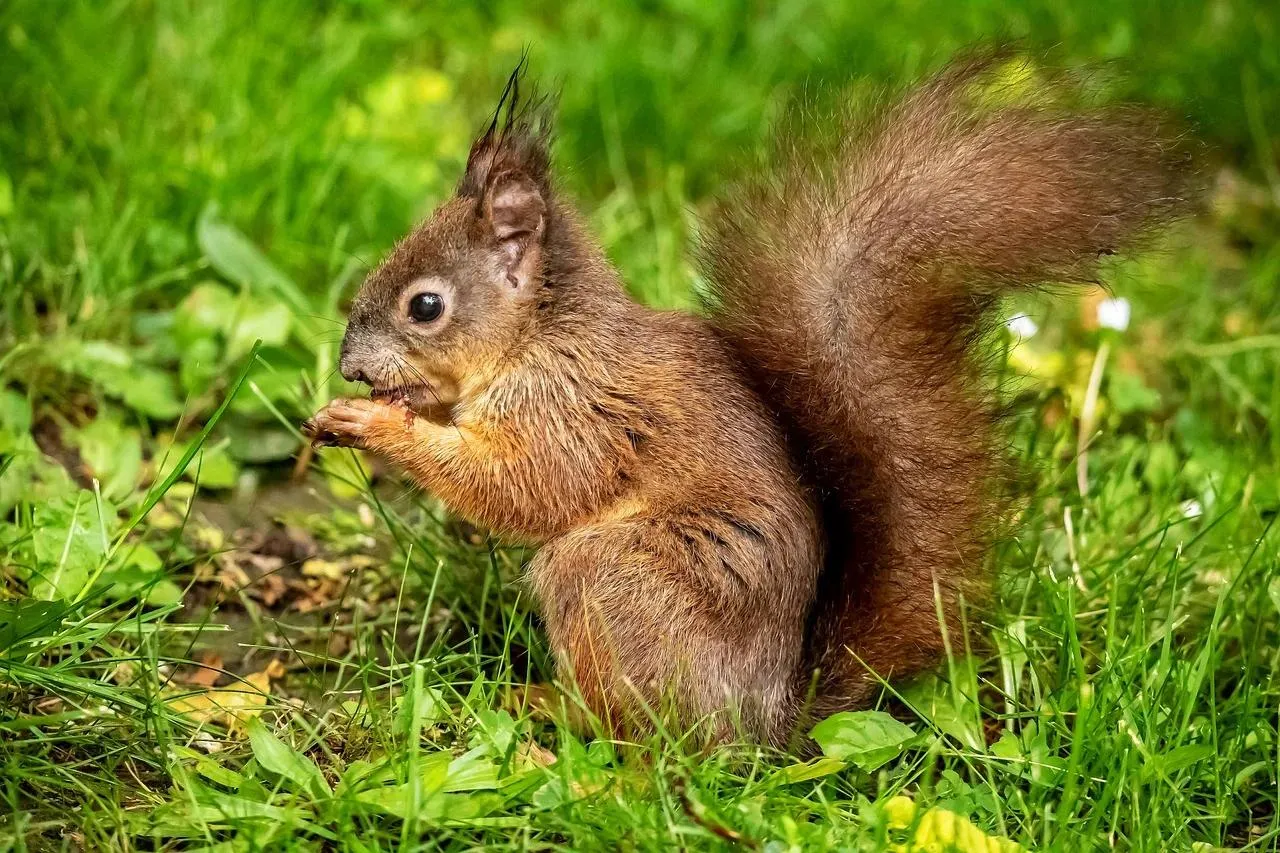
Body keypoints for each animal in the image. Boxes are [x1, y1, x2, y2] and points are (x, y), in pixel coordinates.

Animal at [303, 51, 1196, 747]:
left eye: (425, 305)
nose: (350, 365)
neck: (539, 339)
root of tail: (766, 721)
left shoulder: (578, 411)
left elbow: (529, 488)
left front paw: (375, 423)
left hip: (617, 576)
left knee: (648, 733)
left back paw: (558, 715)